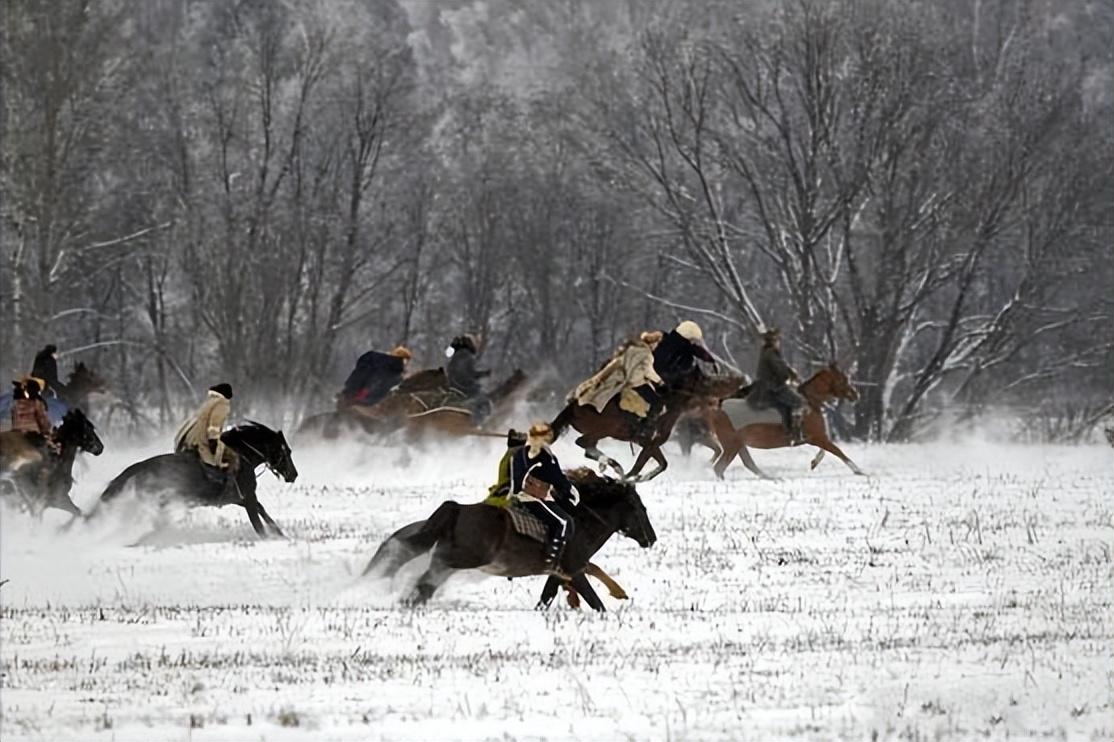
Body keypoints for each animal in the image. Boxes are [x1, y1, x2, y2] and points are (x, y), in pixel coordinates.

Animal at [91, 418, 298, 534]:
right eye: (286, 451)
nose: (293, 475)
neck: (241, 457)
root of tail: (140, 467)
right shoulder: (247, 497)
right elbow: (258, 522)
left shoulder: (239, 498)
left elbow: (262, 511)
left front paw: (280, 534)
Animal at [360, 470, 655, 610]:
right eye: (639, 507)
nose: (651, 539)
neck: (580, 520)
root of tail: (456, 508)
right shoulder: (573, 569)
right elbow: (595, 601)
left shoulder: (558, 573)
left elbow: (546, 598)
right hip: (460, 558)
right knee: (423, 579)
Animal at [708, 360, 864, 476]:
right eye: (843, 379)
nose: (856, 395)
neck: (810, 402)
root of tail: (717, 409)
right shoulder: (817, 437)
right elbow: (838, 451)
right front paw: (858, 470)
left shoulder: (816, 438)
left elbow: (826, 450)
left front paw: (814, 463)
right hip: (732, 444)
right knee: (720, 467)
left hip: (738, 444)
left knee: (745, 464)